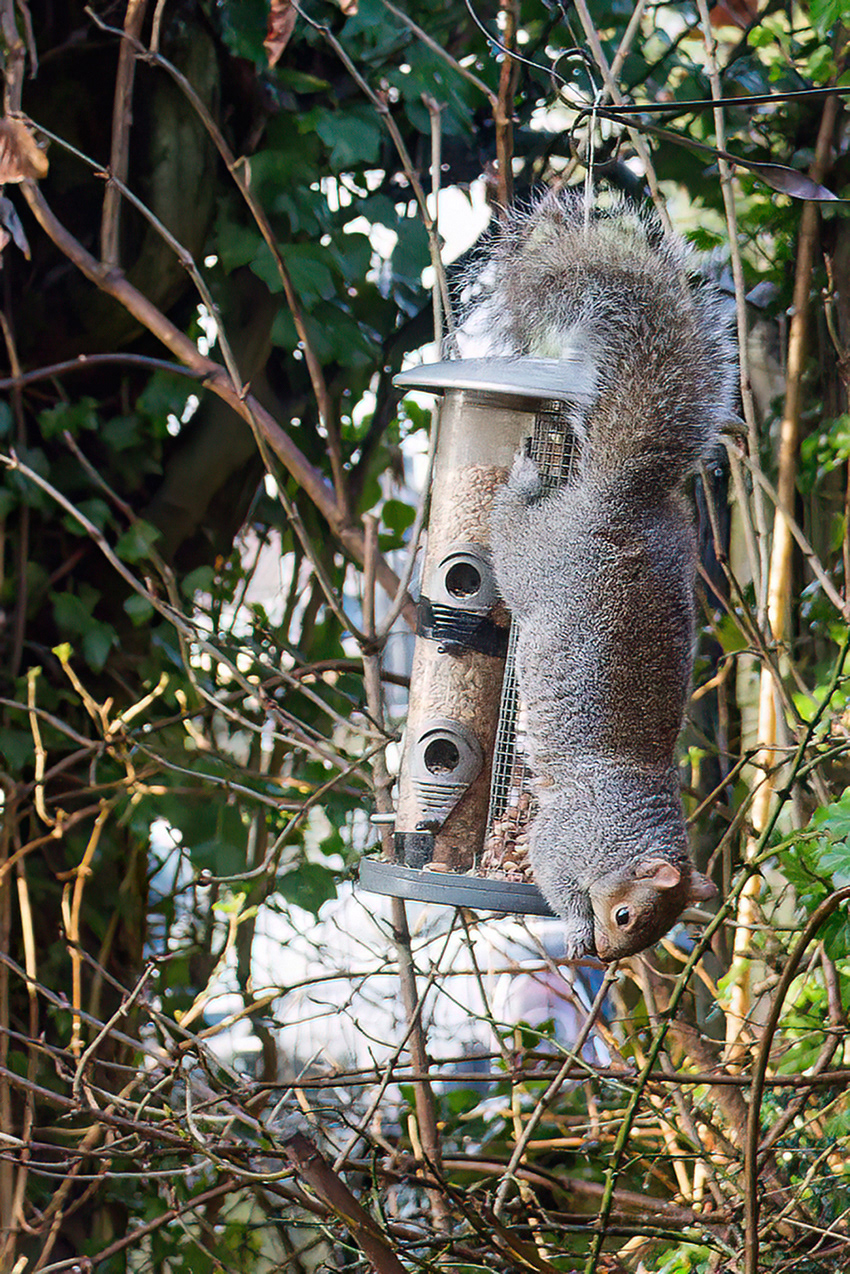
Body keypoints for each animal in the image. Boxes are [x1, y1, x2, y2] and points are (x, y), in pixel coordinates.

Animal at [463, 189, 735, 961]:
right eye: (623, 916)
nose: (612, 959)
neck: (623, 827)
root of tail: (624, 495)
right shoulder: (565, 838)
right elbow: (556, 877)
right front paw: (576, 928)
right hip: (535, 558)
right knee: (513, 527)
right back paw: (526, 477)